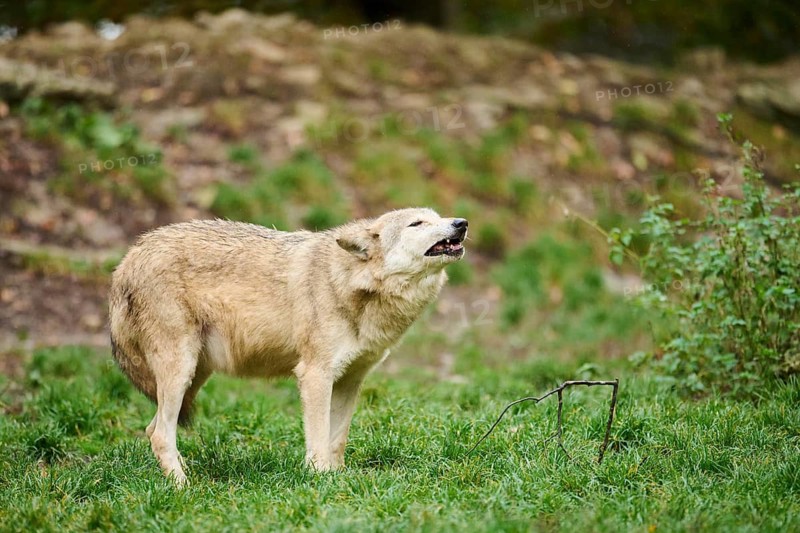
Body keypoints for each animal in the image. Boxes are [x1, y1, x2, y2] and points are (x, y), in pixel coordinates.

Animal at [109, 207, 468, 485]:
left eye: (438, 216)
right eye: (416, 223)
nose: (461, 222)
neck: (348, 284)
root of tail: (127, 260)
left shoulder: (351, 380)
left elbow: (337, 439)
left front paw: (339, 480)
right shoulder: (315, 375)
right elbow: (319, 439)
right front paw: (320, 480)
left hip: (195, 376)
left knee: (153, 428)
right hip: (181, 372)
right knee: (159, 434)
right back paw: (183, 487)